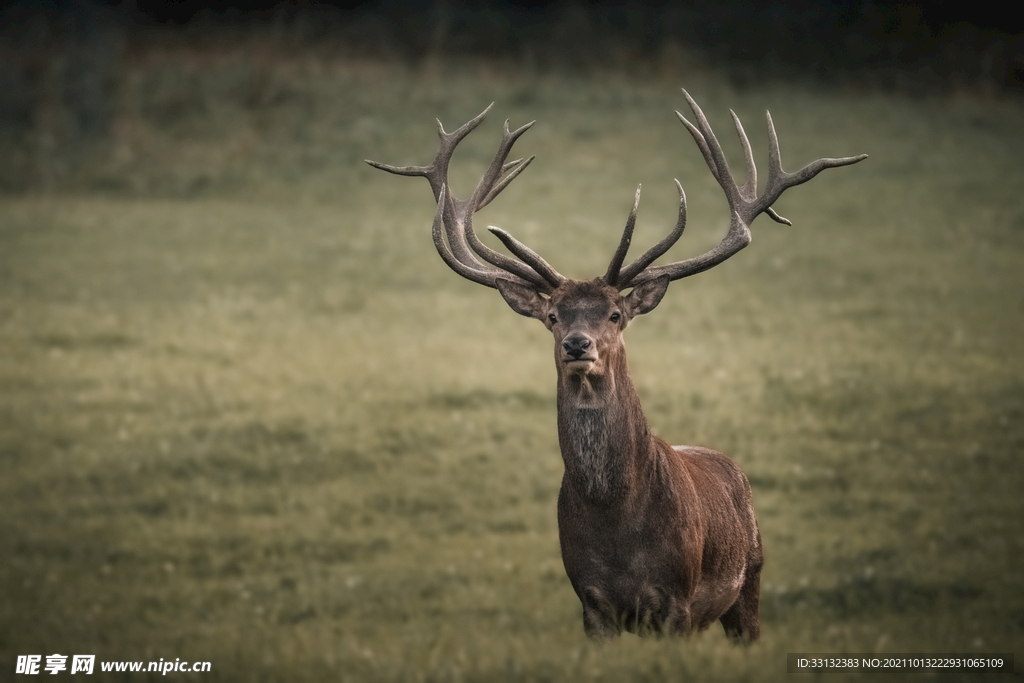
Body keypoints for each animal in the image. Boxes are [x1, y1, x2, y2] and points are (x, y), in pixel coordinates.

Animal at [366, 90, 864, 643]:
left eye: (615, 314)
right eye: (553, 316)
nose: (577, 345)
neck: (616, 525)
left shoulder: (675, 602)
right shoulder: (591, 602)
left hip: (749, 580)